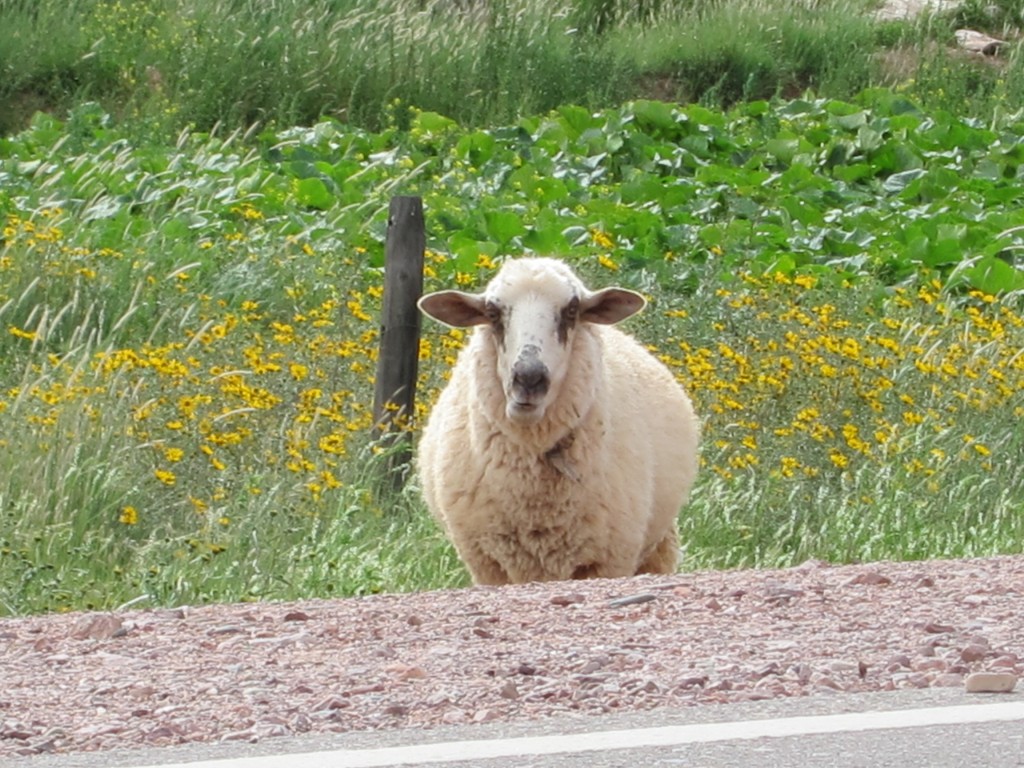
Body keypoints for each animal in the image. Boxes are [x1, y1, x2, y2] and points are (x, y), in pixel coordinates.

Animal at [413, 256, 696, 585]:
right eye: (493, 313)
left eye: (572, 310)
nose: (529, 378)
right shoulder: (486, 564)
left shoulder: (610, 560)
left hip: (657, 546)